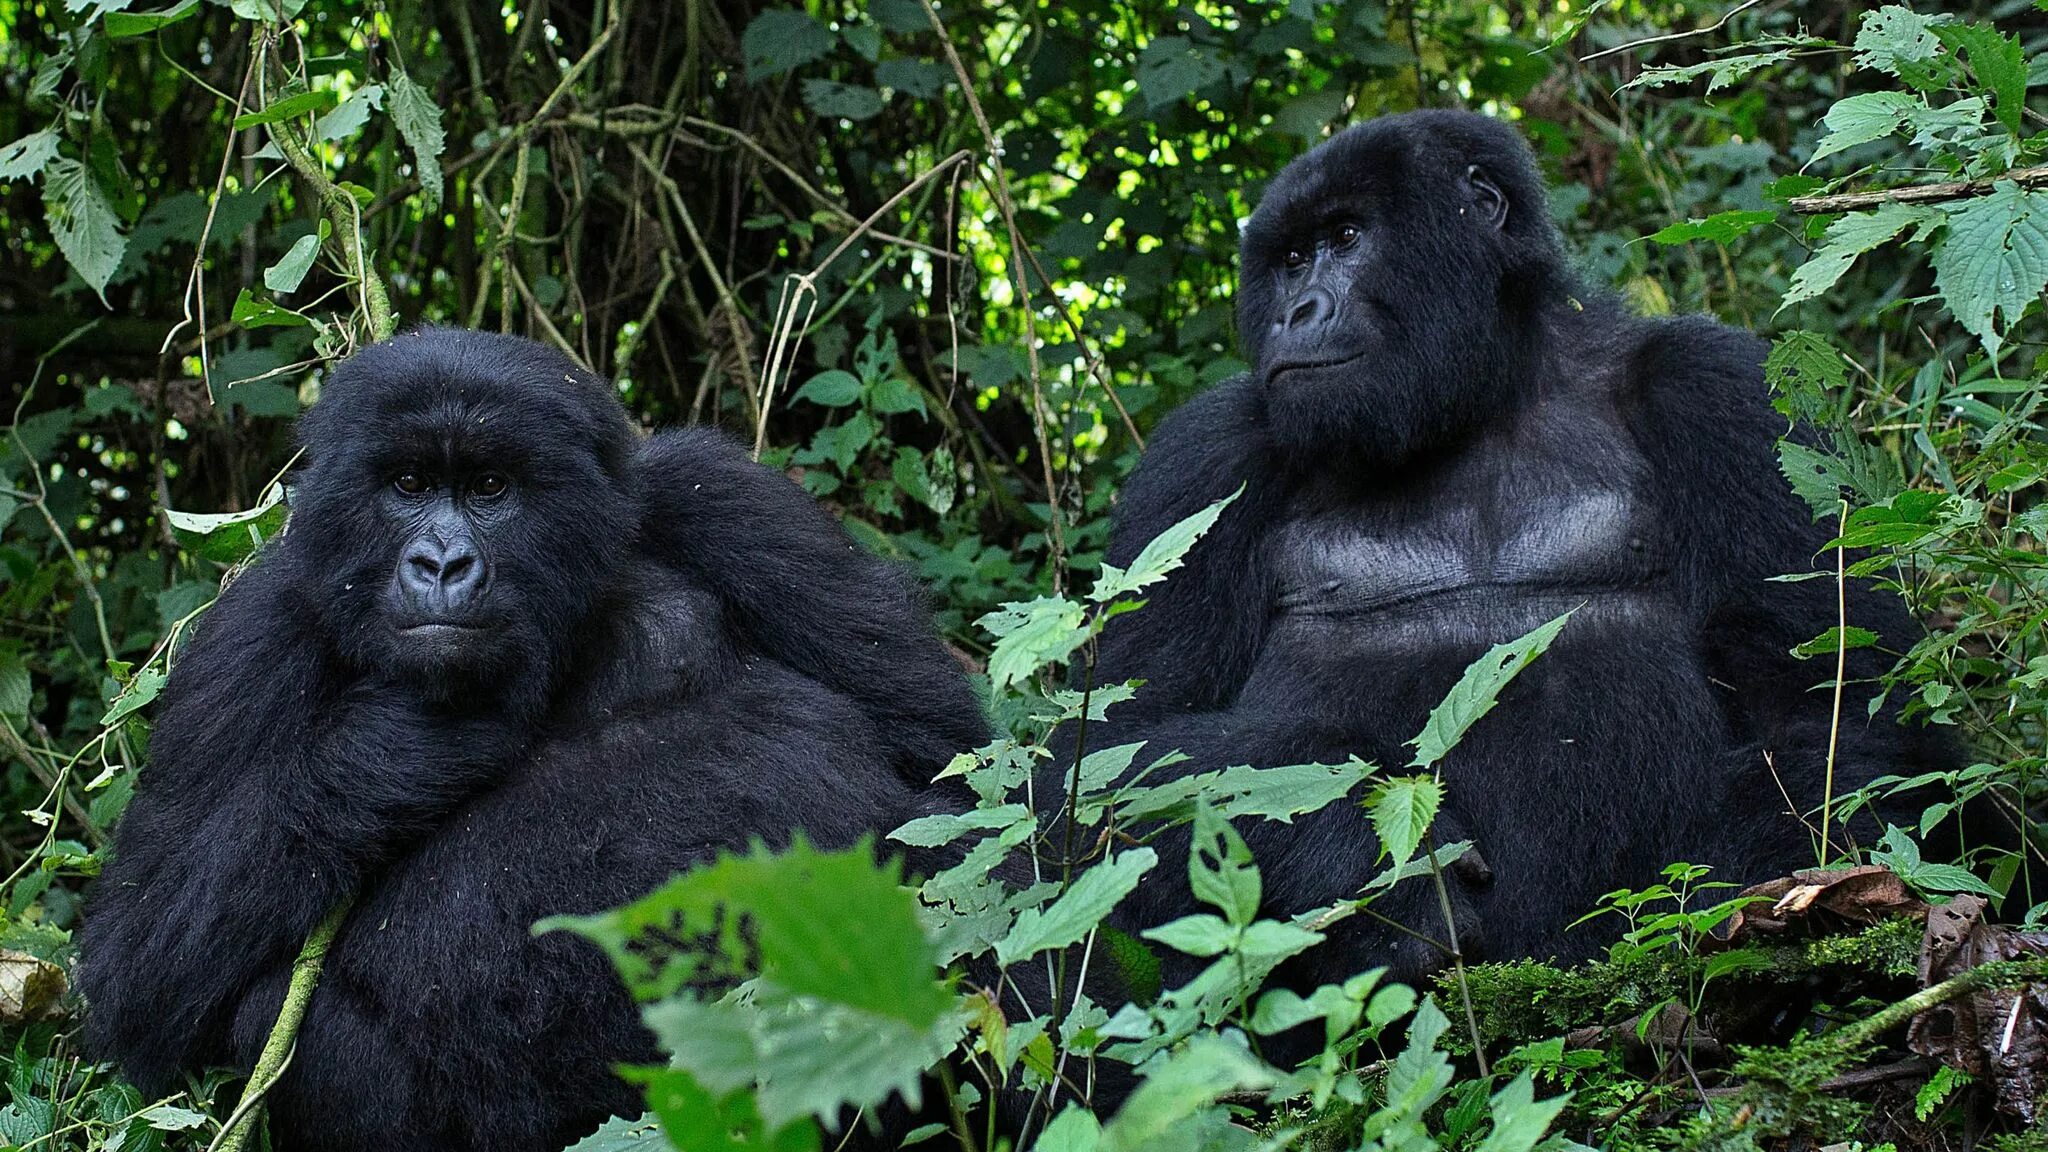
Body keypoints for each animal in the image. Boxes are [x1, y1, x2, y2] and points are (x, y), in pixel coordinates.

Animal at [72, 325, 983, 1147]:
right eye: (407, 483)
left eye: (490, 486)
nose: (441, 565)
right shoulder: (253, 637)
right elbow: (137, 971)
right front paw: (394, 746)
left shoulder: (723, 497)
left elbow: (949, 772)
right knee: (268, 1013)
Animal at [1089, 109, 1949, 988]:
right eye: (1291, 259)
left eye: (1347, 237)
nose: (1294, 313)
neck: (1483, 396)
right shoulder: (1205, 457)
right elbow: (1118, 758)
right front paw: (1362, 856)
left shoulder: (1721, 391)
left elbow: (1832, 714)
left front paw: (1732, 927)